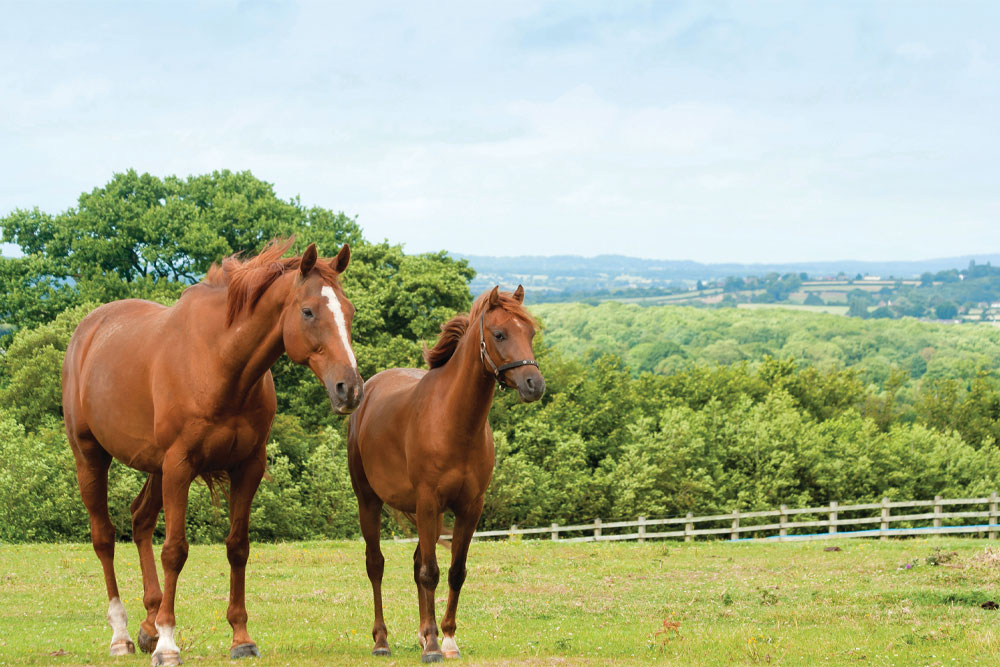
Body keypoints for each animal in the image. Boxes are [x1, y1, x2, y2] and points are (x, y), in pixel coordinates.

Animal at [61, 241, 364, 667]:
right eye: (308, 311)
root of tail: (86, 331)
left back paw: (148, 624)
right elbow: (174, 550)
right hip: (92, 456)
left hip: (154, 467)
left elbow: (238, 548)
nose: (349, 389)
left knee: (140, 521)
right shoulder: (179, 465)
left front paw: (241, 638)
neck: (221, 362)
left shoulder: (248, 467)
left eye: (349, 311)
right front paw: (169, 644)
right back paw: (121, 635)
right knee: (104, 538)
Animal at [346, 284, 548, 660]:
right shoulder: (428, 502)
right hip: (370, 500)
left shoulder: (470, 508)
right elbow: (430, 573)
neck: (455, 422)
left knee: (416, 563)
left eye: (529, 332)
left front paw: (447, 638)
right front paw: (433, 645)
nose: (534, 384)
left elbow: (454, 571)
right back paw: (382, 641)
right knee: (376, 564)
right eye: (499, 334)